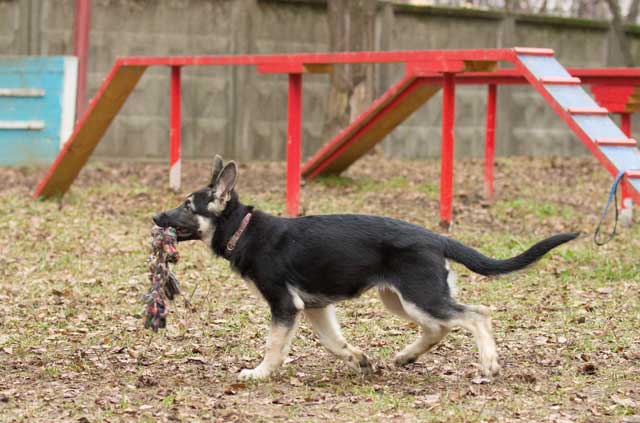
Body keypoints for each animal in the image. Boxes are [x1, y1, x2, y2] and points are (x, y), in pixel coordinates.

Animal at [152, 156, 576, 380]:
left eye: (188, 205)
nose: (156, 218)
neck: (244, 229)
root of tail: (436, 238)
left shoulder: (285, 306)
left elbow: (274, 346)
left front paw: (259, 374)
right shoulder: (316, 307)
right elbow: (333, 342)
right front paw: (358, 358)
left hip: (420, 297)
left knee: (477, 315)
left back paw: (488, 362)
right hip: (400, 299)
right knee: (439, 328)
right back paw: (406, 356)